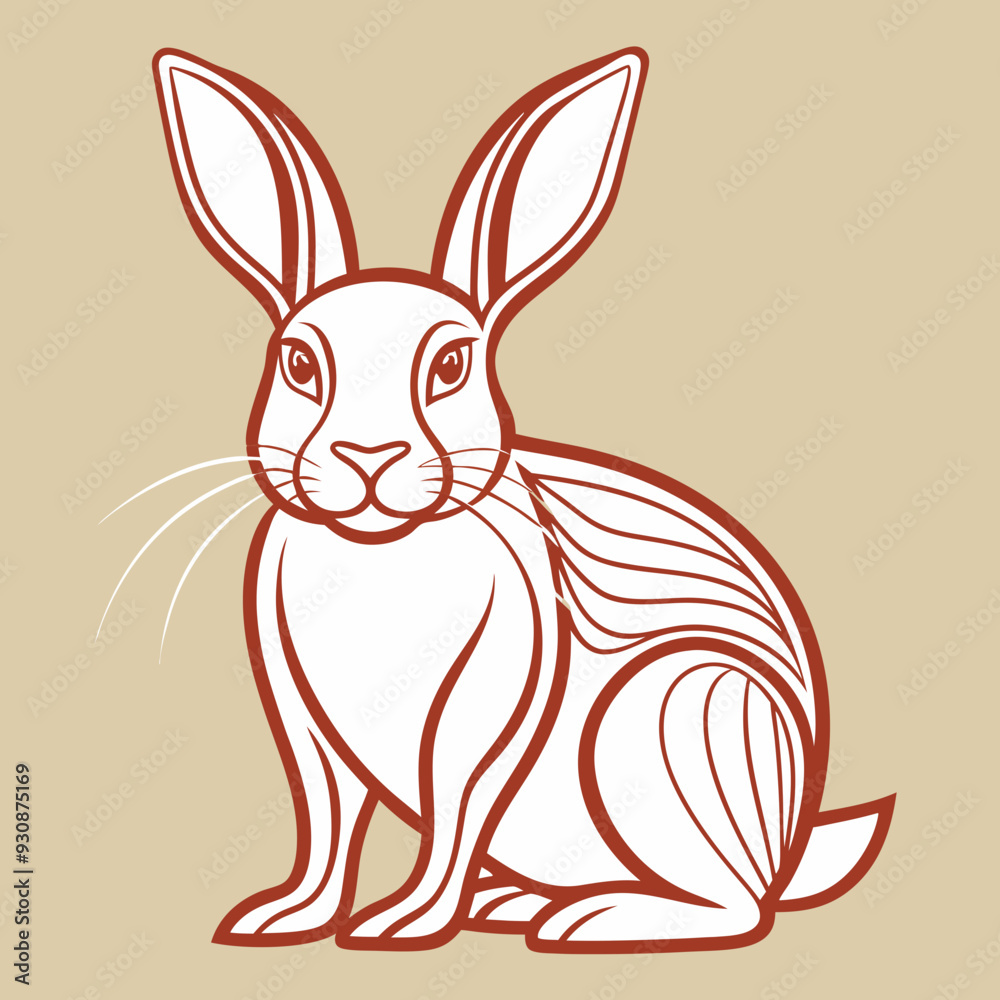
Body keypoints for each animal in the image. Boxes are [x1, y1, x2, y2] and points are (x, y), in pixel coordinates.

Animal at [152, 46, 894, 953]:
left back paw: (587, 921)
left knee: (737, 907)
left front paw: (402, 924)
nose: (368, 458)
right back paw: (513, 905)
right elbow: (327, 821)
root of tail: (791, 844)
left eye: (450, 365)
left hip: (674, 712)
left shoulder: (489, 708)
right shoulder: (305, 724)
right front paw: (284, 918)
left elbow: (452, 808)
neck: (383, 548)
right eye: (298, 362)